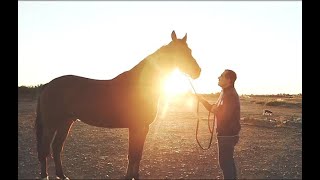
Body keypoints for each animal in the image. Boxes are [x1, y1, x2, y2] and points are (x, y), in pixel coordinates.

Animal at [35, 30, 200, 179]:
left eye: (190, 51)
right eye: (180, 52)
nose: (198, 71)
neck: (139, 85)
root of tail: (48, 84)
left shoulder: (143, 128)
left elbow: (137, 154)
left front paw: (135, 175)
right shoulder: (136, 127)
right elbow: (132, 154)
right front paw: (129, 176)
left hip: (66, 122)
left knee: (56, 147)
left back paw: (62, 175)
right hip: (51, 125)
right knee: (45, 149)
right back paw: (45, 176)